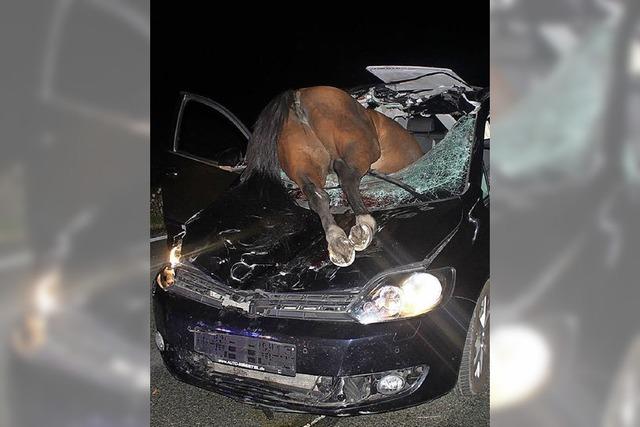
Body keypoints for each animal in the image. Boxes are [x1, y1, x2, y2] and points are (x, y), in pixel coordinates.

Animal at [240, 86, 424, 268]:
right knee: (346, 175)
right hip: (362, 147)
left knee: (318, 195)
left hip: (302, 163)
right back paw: (363, 225)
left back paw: (337, 241)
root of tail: (297, 95)